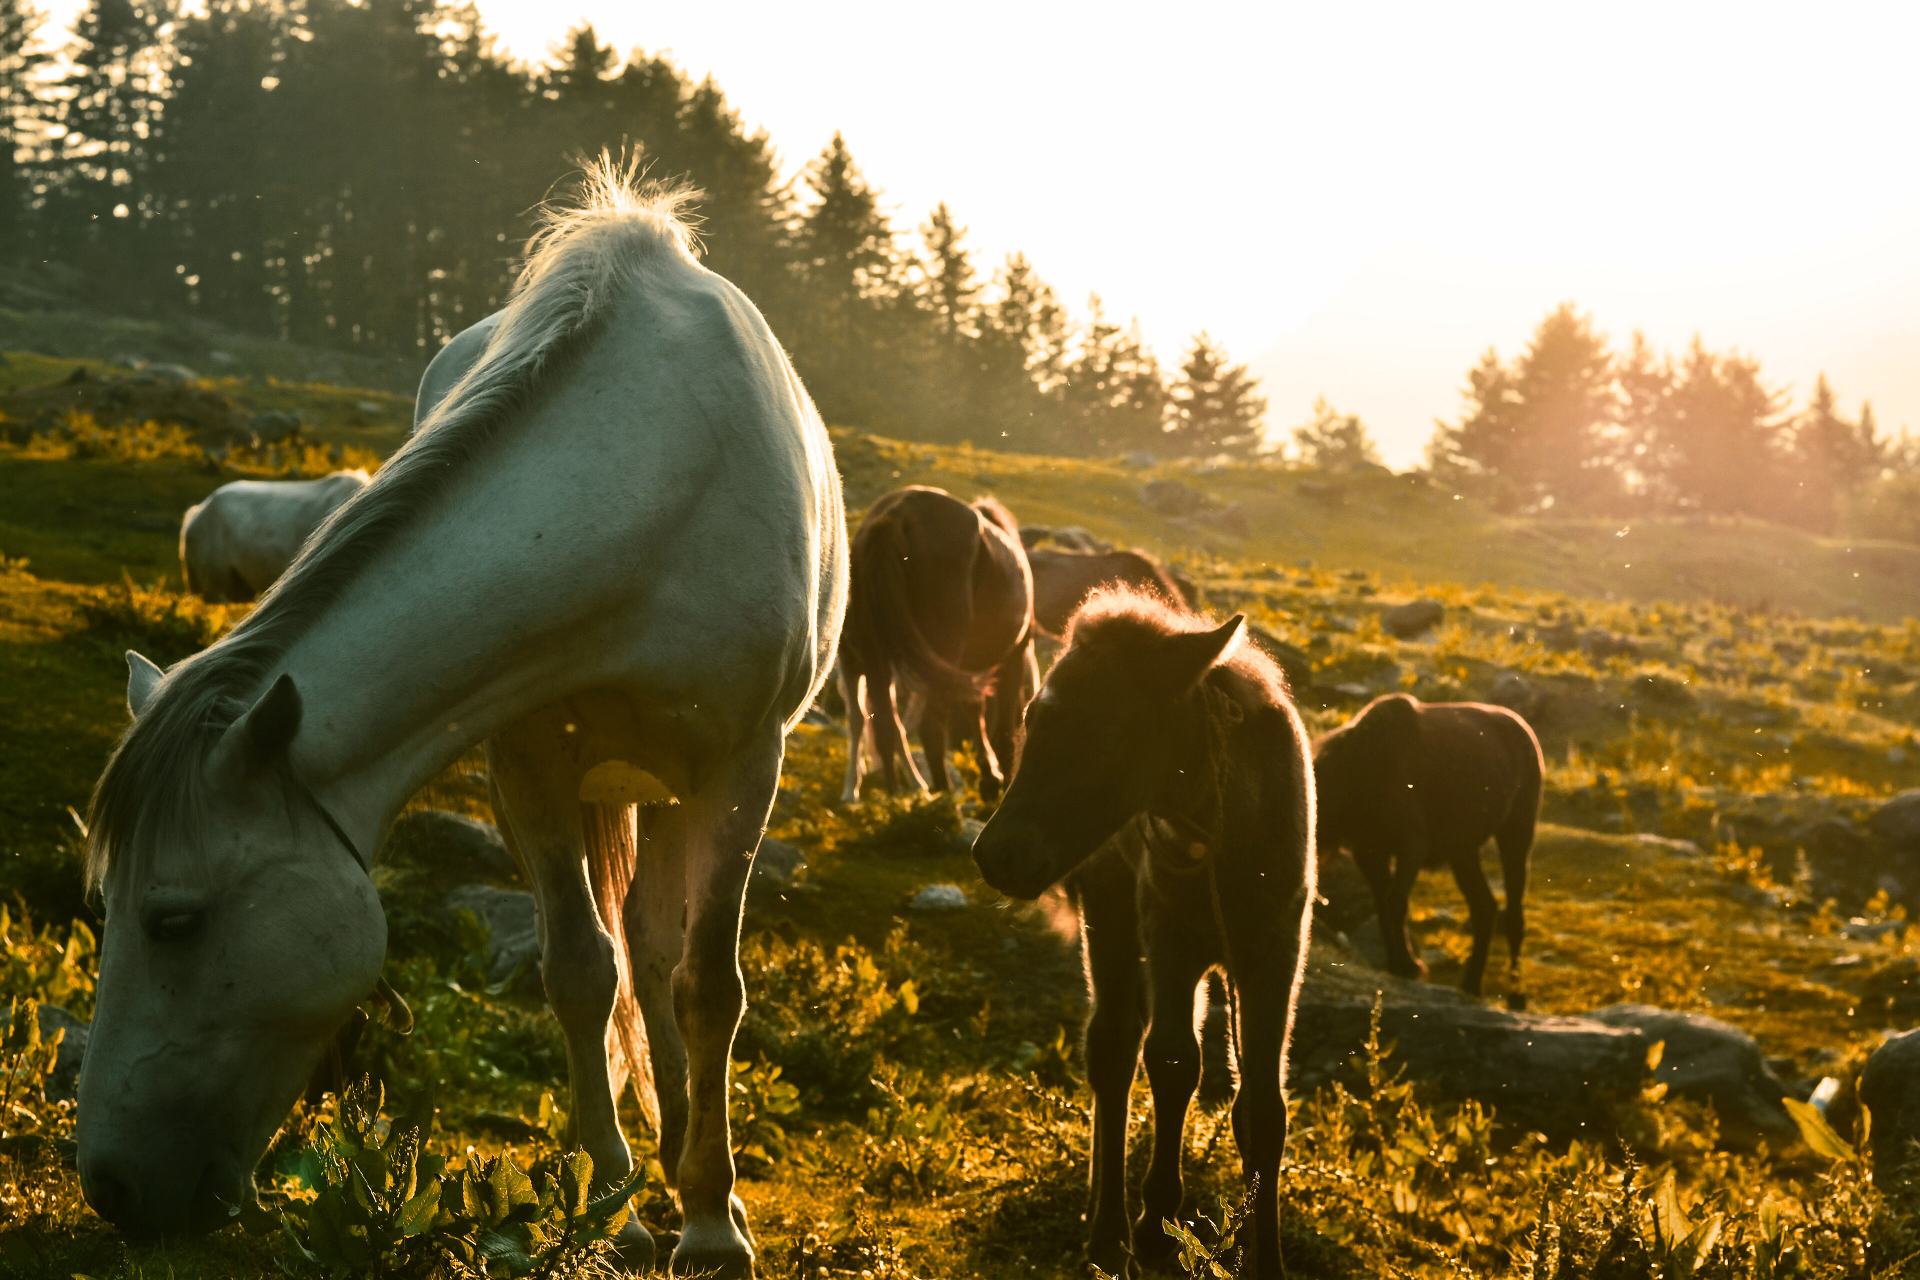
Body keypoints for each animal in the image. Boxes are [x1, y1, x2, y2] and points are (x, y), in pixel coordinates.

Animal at [838, 485, 1035, 804]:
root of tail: (896, 515)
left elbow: (975, 710)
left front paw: (990, 777)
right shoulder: (1011, 659)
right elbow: (1004, 728)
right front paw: (998, 778)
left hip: (877, 660)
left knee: (884, 723)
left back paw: (896, 795)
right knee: (928, 725)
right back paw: (942, 793)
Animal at [972, 587, 1315, 1279]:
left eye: (1108, 729)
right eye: (1032, 716)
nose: (998, 856)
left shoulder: (1274, 951)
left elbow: (1263, 1109)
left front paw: (1264, 1258)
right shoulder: (1170, 939)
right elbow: (1174, 1062)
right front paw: (1155, 1227)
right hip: (1111, 913)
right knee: (1113, 1049)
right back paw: (1106, 1230)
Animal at [1313, 693, 1542, 1003]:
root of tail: (1528, 735)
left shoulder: (1411, 845)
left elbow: (1396, 903)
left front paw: (1408, 964)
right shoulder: (1369, 851)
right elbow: (1382, 906)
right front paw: (1397, 963)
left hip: (1517, 830)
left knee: (1514, 913)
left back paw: (1515, 992)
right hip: (1462, 850)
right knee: (1485, 907)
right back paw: (1471, 983)